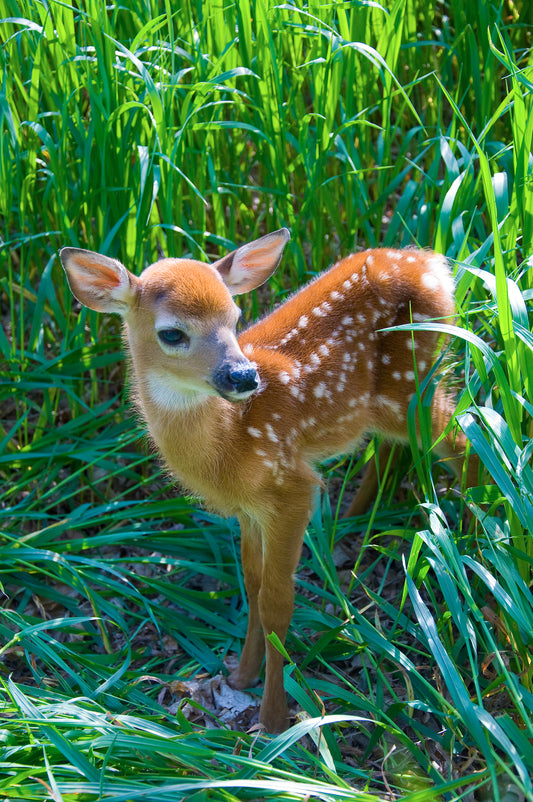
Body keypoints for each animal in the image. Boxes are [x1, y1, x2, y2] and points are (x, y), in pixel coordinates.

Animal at [60, 229, 474, 733]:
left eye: (235, 318)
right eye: (172, 333)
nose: (243, 376)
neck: (231, 444)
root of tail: (432, 264)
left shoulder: (292, 488)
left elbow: (277, 602)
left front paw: (275, 718)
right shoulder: (249, 509)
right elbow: (252, 585)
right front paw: (241, 676)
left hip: (411, 379)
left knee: (464, 438)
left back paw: (472, 535)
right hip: (392, 399)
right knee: (399, 445)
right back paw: (356, 523)